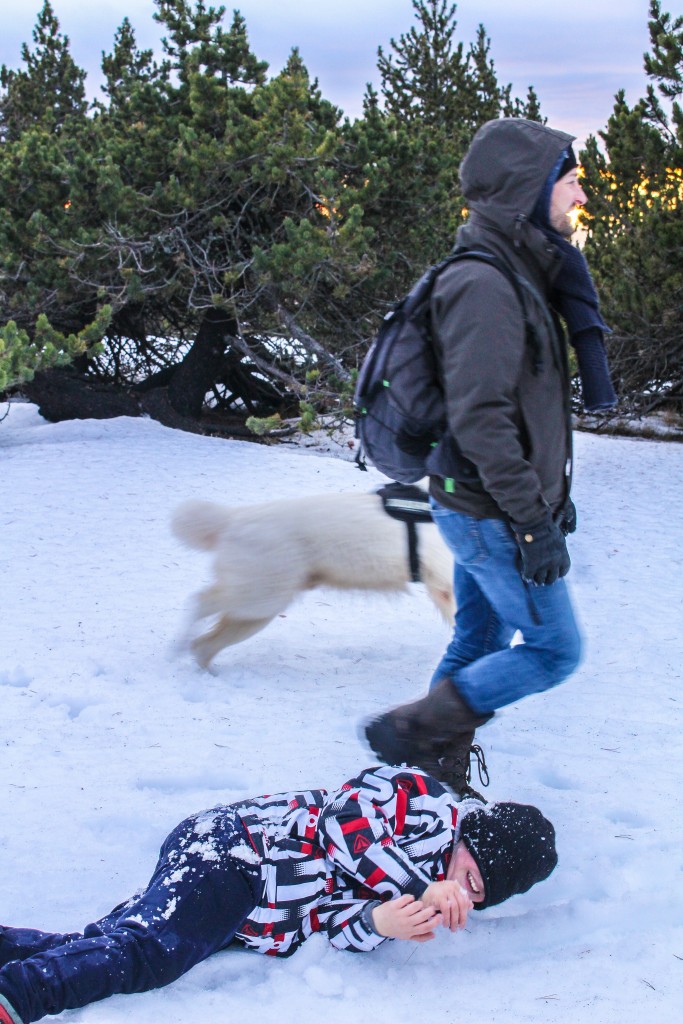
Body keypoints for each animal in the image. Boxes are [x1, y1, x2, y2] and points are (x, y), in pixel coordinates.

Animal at [174, 491, 456, 667]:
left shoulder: (444, 591)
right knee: (200, 603)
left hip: (258, 610)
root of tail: (233, 519)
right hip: (261, 598)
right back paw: (178, 647)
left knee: (204, 645)